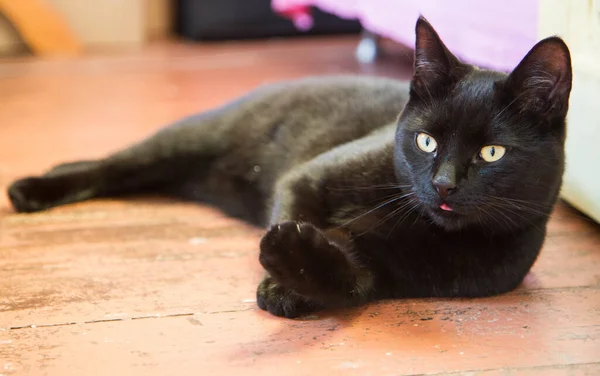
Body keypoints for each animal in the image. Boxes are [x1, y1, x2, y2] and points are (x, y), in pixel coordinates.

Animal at [8, 16, 572, 318]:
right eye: (426, 141)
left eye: (491, 153)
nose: (442, 184)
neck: (415, 221)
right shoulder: (309, 176)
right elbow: (297, 207)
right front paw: (280, 271)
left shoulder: (385, 272)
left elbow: (346, 281)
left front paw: (292, 274)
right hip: (187, 140)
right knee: (114, 165)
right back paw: (33, 188)